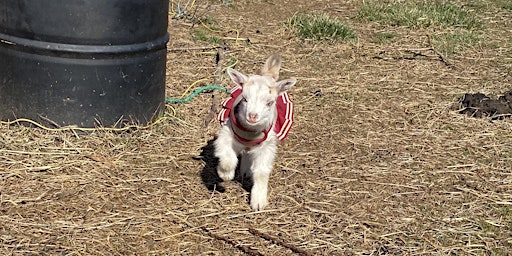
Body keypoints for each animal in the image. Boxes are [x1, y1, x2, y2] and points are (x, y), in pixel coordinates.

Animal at [215, 54, 296, 210]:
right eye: (245, 99)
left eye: (270, 103)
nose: (252, 116)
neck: (250, 132)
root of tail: (267, 75)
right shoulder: (226, 133)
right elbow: (228, 157)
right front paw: (225, 174)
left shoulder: (267, 146)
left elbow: (261, 172)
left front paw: (258, 202)